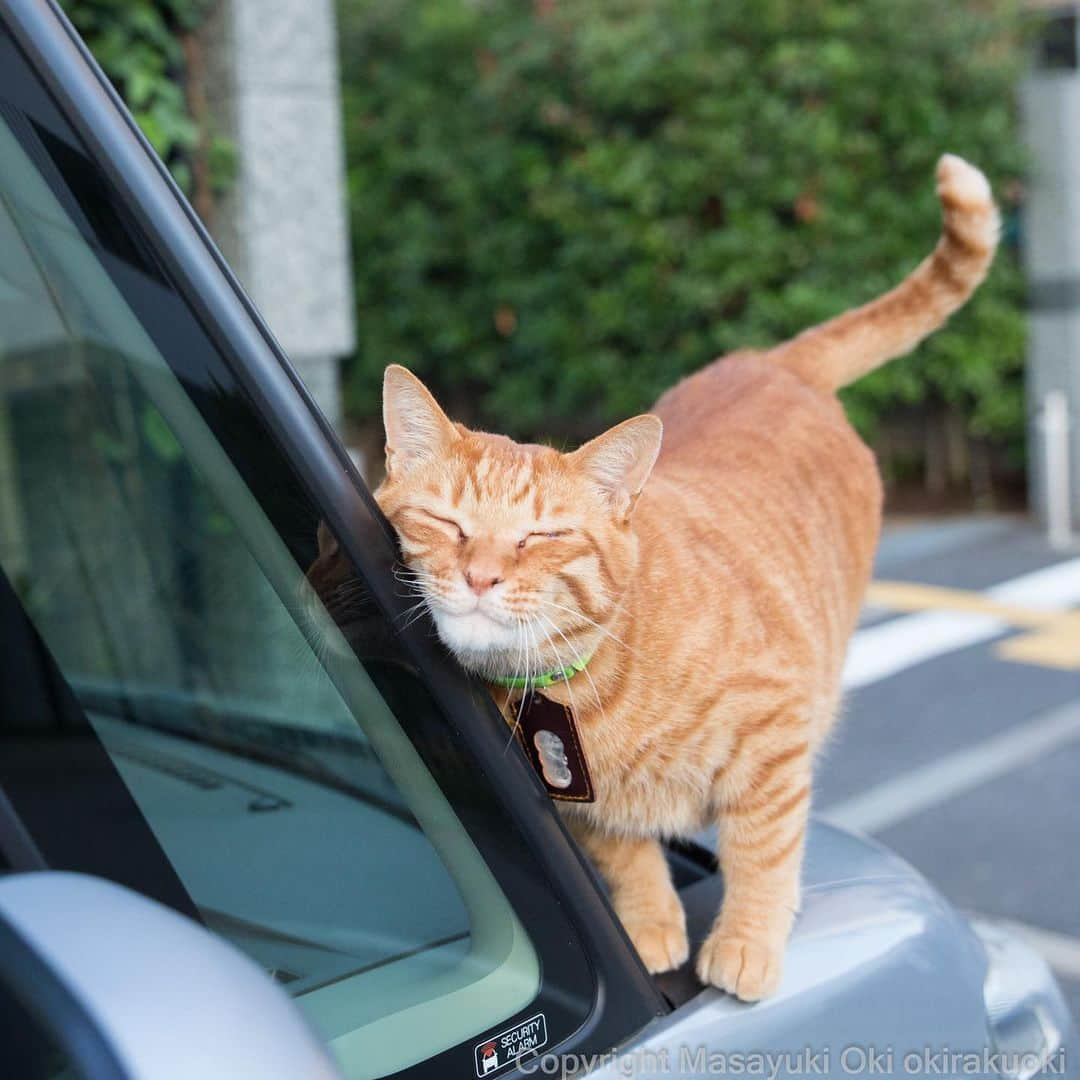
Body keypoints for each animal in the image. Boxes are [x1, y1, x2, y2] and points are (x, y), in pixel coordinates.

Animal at [375, 156, 997, 997]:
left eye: (542, 537)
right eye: (447, 524)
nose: (479, 577)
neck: (590, 680)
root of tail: (772, 361)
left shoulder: (774, 733)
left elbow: (763, 848)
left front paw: (746, 942)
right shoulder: (586, 809)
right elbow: (629, 859)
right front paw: (649, 927)